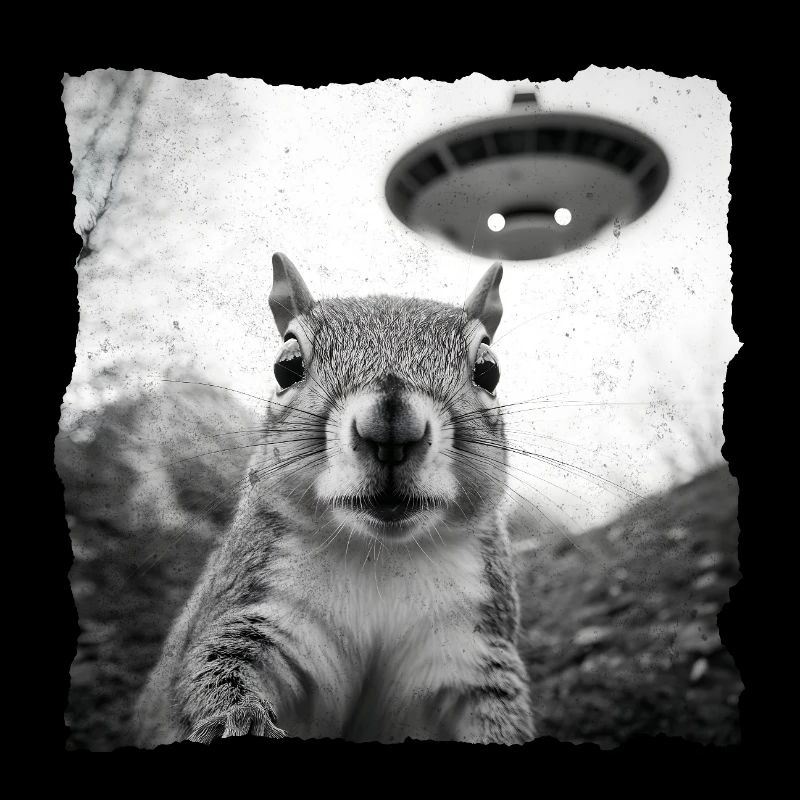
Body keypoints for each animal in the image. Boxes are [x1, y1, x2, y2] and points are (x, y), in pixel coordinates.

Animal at [134, 252, 535, 746]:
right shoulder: (260, 609)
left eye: (488, 370)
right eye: (286, 366)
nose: (391, 427)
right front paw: (239, 720)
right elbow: (217, 666)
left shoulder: (470, 650)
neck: (382, 555)